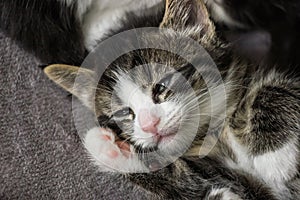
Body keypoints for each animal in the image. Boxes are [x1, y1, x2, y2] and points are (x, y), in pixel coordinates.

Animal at [43, 0, 298, 198]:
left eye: (161, 86)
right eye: (123, 112)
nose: (150, 125)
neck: (216, 131)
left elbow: (270, 91)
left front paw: (276, 159)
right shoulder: (242, 182)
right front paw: (110, 149)